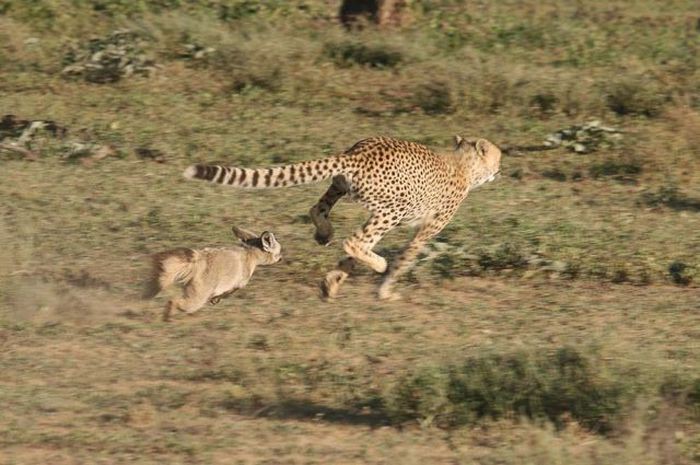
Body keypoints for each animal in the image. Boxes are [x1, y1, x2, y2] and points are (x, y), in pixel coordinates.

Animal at [185, 136, 504, 300]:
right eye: (497, 158)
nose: (500, 170)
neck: (464, 164)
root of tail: (358, 151)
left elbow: (348, 262)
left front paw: (332, 283)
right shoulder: (427, 229)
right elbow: (403, 259)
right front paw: (385, 290)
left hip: (342, 185)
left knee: (320, 211)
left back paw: (324, 234)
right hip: (393, 209)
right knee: (355, 242)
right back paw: (378, 263)